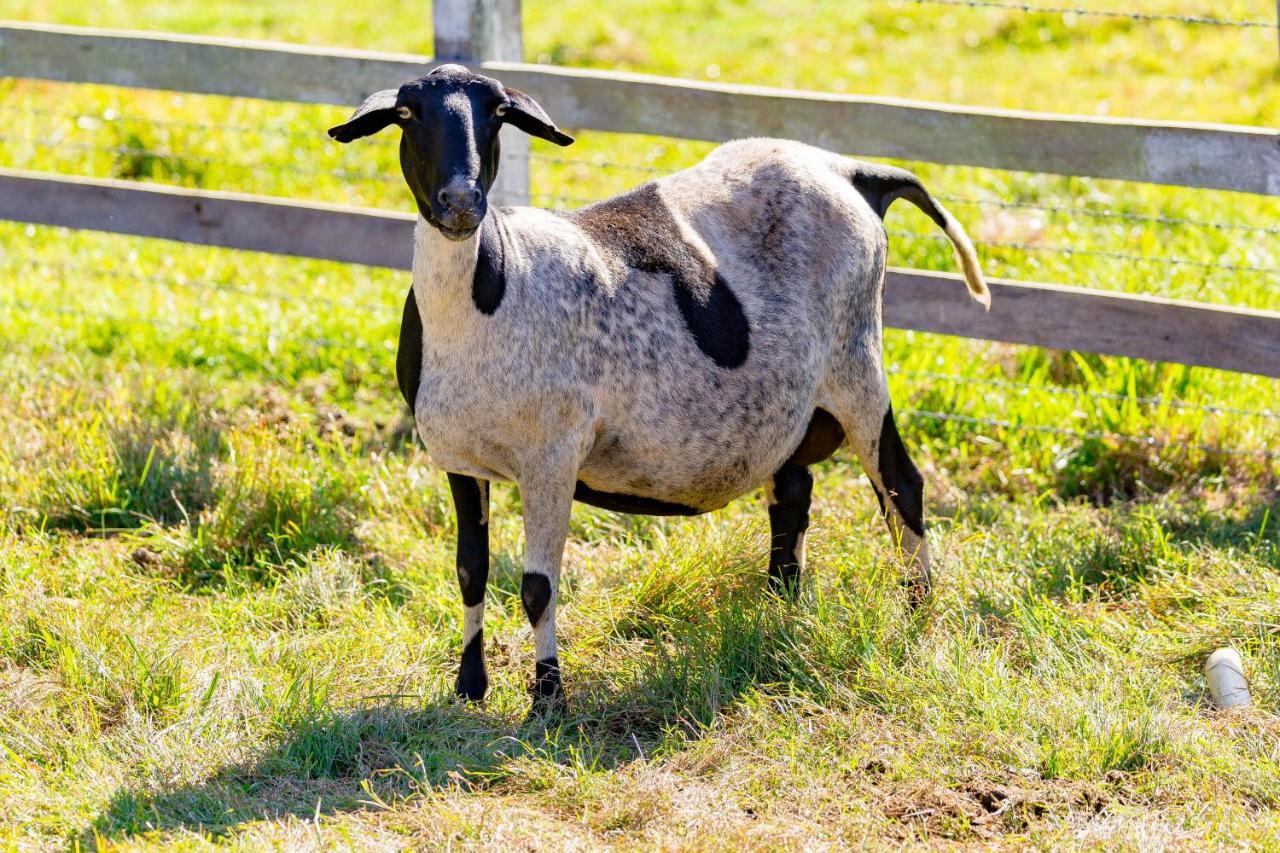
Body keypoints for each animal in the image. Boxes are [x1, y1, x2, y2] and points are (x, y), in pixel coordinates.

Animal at [330, 66, 988, 712]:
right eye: (408, 113)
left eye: (495, 113)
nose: (461, 201)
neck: (492, 280)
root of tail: (850, 173)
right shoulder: (458, 459)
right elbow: (470, 570)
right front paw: (469, 688)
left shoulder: (552, 454)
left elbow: (538, 586)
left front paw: (547, 700)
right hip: (786, 402)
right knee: (793, 493)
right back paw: (781, 610)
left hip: (857, 363)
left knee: (901, 486)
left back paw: (917, 615)